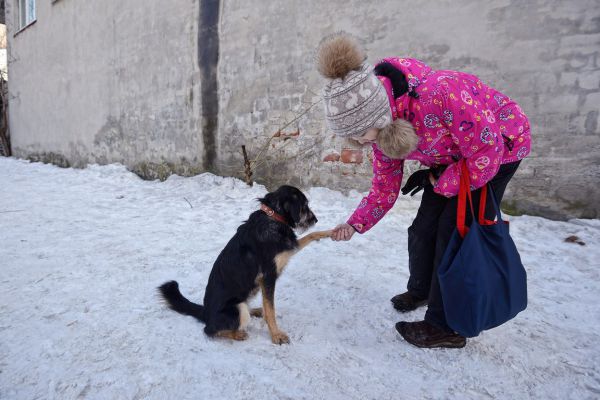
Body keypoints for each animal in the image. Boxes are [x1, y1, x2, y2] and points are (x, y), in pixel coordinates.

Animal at [157, 184, 330, 344]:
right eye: (305, 205)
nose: (316, 220)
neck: (273, 216)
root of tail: (205, 312)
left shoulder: (286, 252)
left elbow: (309, 236)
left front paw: (328, 232)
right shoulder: (268, 276)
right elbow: (271, 310)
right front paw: (276, 335)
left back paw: (255, 311)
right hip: (237, 308)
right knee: (210, 330)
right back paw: (238, 334)